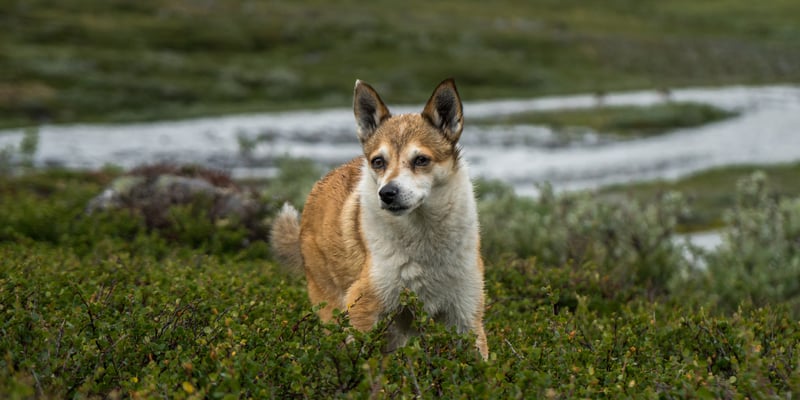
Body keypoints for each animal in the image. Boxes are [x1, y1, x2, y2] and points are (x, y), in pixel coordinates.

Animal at [272, 78, 490, 360]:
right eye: (378, 161)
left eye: (421, 160)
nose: (387, 193)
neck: (423, 235)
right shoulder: (363, 307)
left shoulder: (466, 317)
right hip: (338, 315)